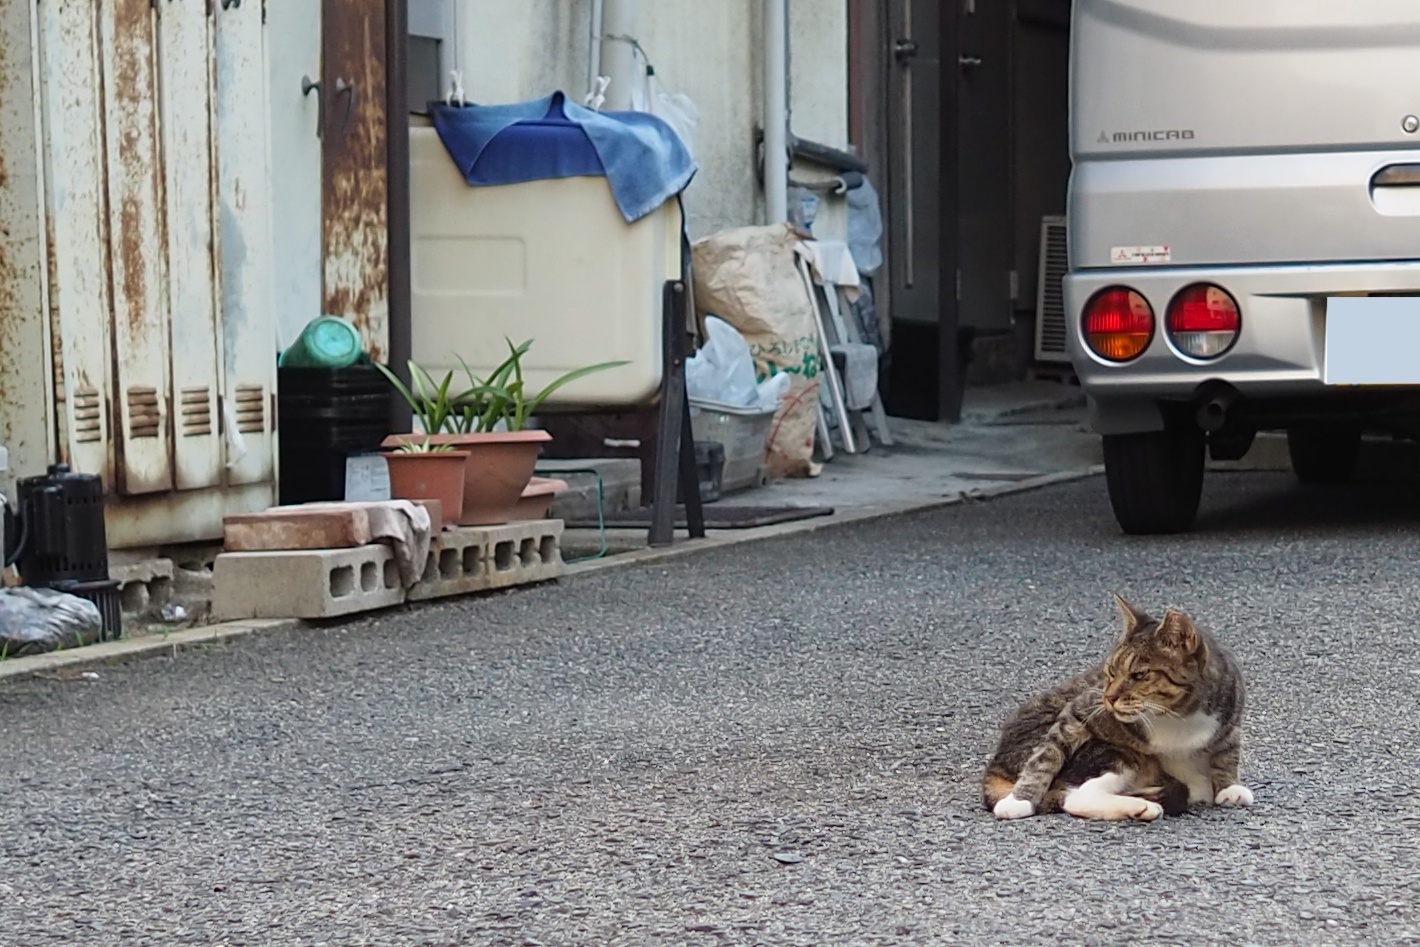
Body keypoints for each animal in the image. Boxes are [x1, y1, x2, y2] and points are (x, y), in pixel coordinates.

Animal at [982, 596, 1249, 817]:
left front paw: (1229, 786)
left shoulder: (1231, 711)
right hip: (1113, 754)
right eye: (1111, 671)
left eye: (1139, 675)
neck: (1177, 715)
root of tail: (997, 764)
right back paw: (1141, 807)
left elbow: (1228, 751)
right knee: (1074, 796)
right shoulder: (1082, 709)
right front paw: (1021, 799)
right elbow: (1047, 755)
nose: (1109, 698)